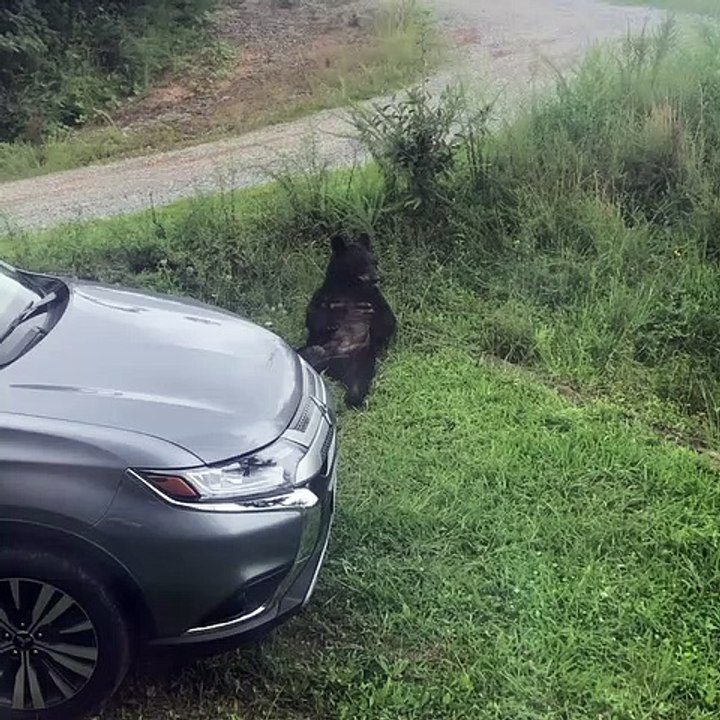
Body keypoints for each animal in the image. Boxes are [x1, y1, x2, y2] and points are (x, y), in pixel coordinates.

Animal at [297, 233, 396, 408]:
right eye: (361, 261)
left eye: (374, 261)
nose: (377, 277)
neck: (350, 287)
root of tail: (333, 372)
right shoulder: (325, 294)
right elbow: (313, 316)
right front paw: (330, 323)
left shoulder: (373, 297)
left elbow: (387, 320)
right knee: (307, 351)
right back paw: (316, 353)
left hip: (360, 359)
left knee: (358, 384)